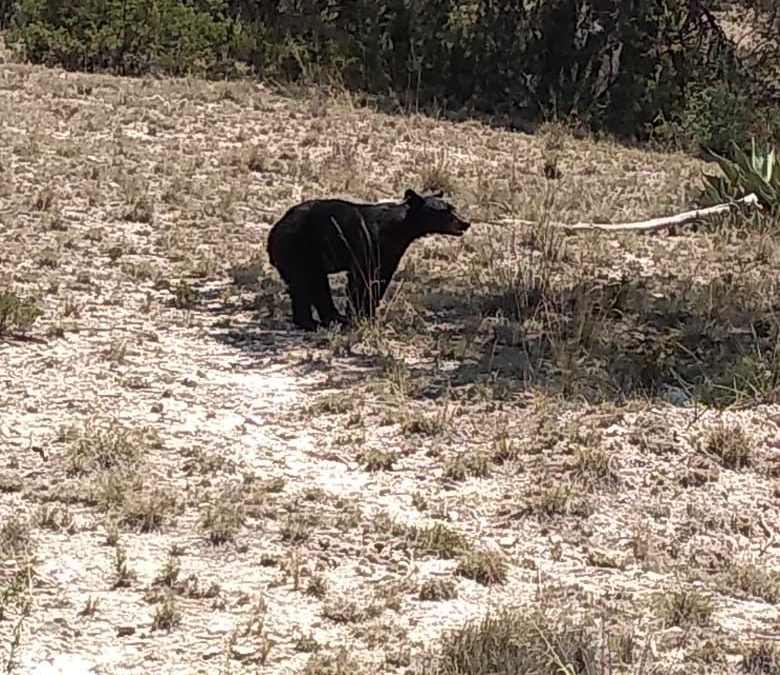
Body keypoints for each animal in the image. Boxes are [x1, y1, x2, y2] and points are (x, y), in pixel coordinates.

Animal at [266, 189, 472, 332]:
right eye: (446, 212)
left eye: (453, 208)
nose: (466, 222)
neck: (400, 229)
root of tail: (273, 233)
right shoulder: (368, 242)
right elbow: (360, 279)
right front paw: (358, 315)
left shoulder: (390, 253)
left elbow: (380, 279)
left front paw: (369, 315)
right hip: (298, 250)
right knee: (306, 284)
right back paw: (314, 322)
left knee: (313, 286)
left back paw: (332, 319)